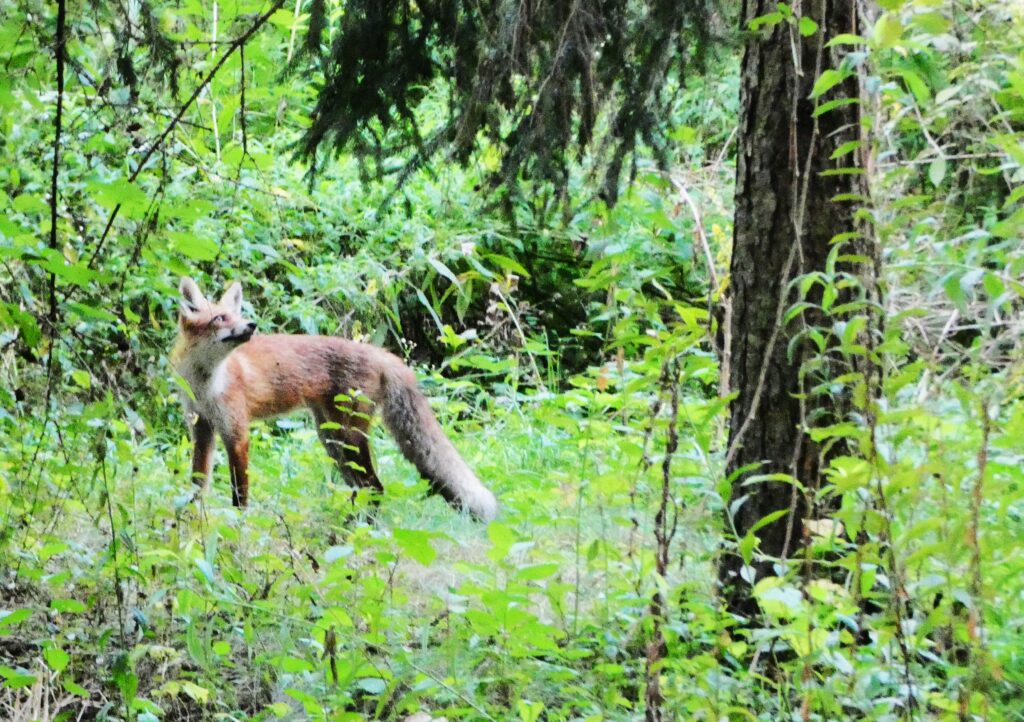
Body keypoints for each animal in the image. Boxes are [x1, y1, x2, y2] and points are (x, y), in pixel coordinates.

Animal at [169, 274, 497, 518]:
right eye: (220, 318)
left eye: (237, 315)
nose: (251, 326)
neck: (206, 384)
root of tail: (381, 353)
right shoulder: (202, 428)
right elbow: (198, 484)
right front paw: (192, 518)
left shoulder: (236, 432)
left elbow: (240, 494)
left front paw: (239, 528)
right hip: (332, 439)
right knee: (361, 488)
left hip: (347, 436)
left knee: (375, 487)